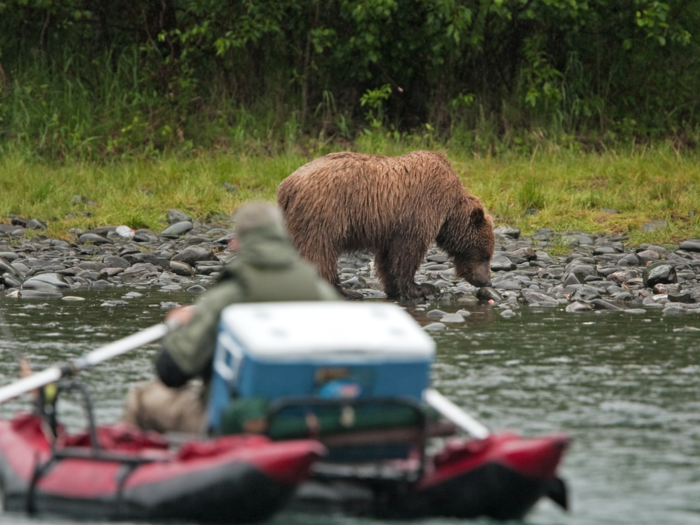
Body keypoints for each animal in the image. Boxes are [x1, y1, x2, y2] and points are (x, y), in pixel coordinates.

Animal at [276, 151, 494, 298]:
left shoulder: (390, 226)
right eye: (486, 255)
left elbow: (388, 258)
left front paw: (394, 288)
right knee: (320, 253)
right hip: (324, 214)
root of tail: (287, 185)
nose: (487, 281)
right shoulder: (420, 210)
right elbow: (408, 252)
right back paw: (345, 291)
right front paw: (420, 288)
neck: (448, 210)